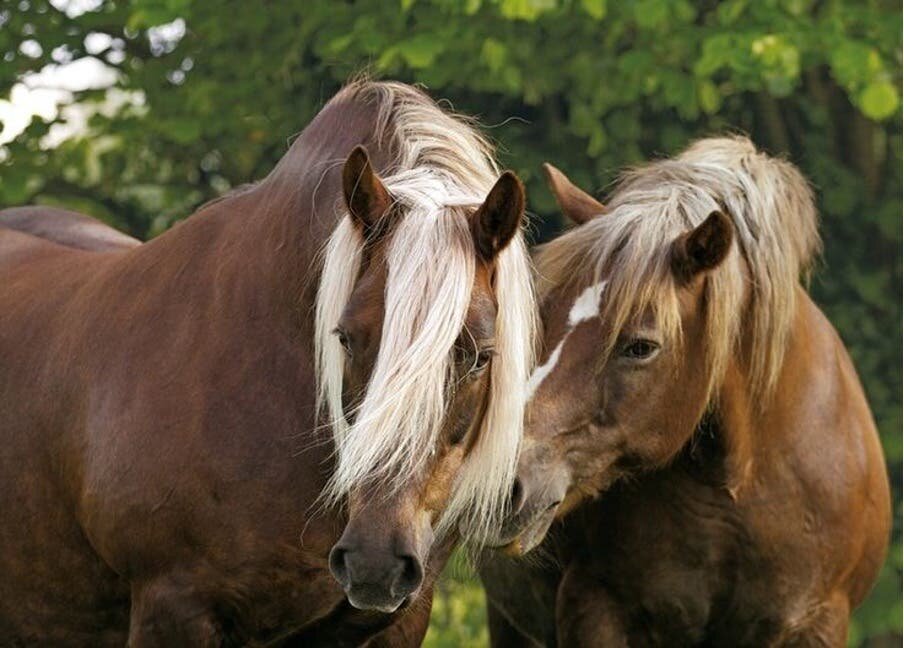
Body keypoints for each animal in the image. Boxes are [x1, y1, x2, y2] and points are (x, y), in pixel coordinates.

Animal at [480, 135, 888, 644]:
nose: (501, 485)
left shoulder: (818, 623)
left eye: (640, 346)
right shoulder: (594, 606)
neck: (737, 486)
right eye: (542, 316)